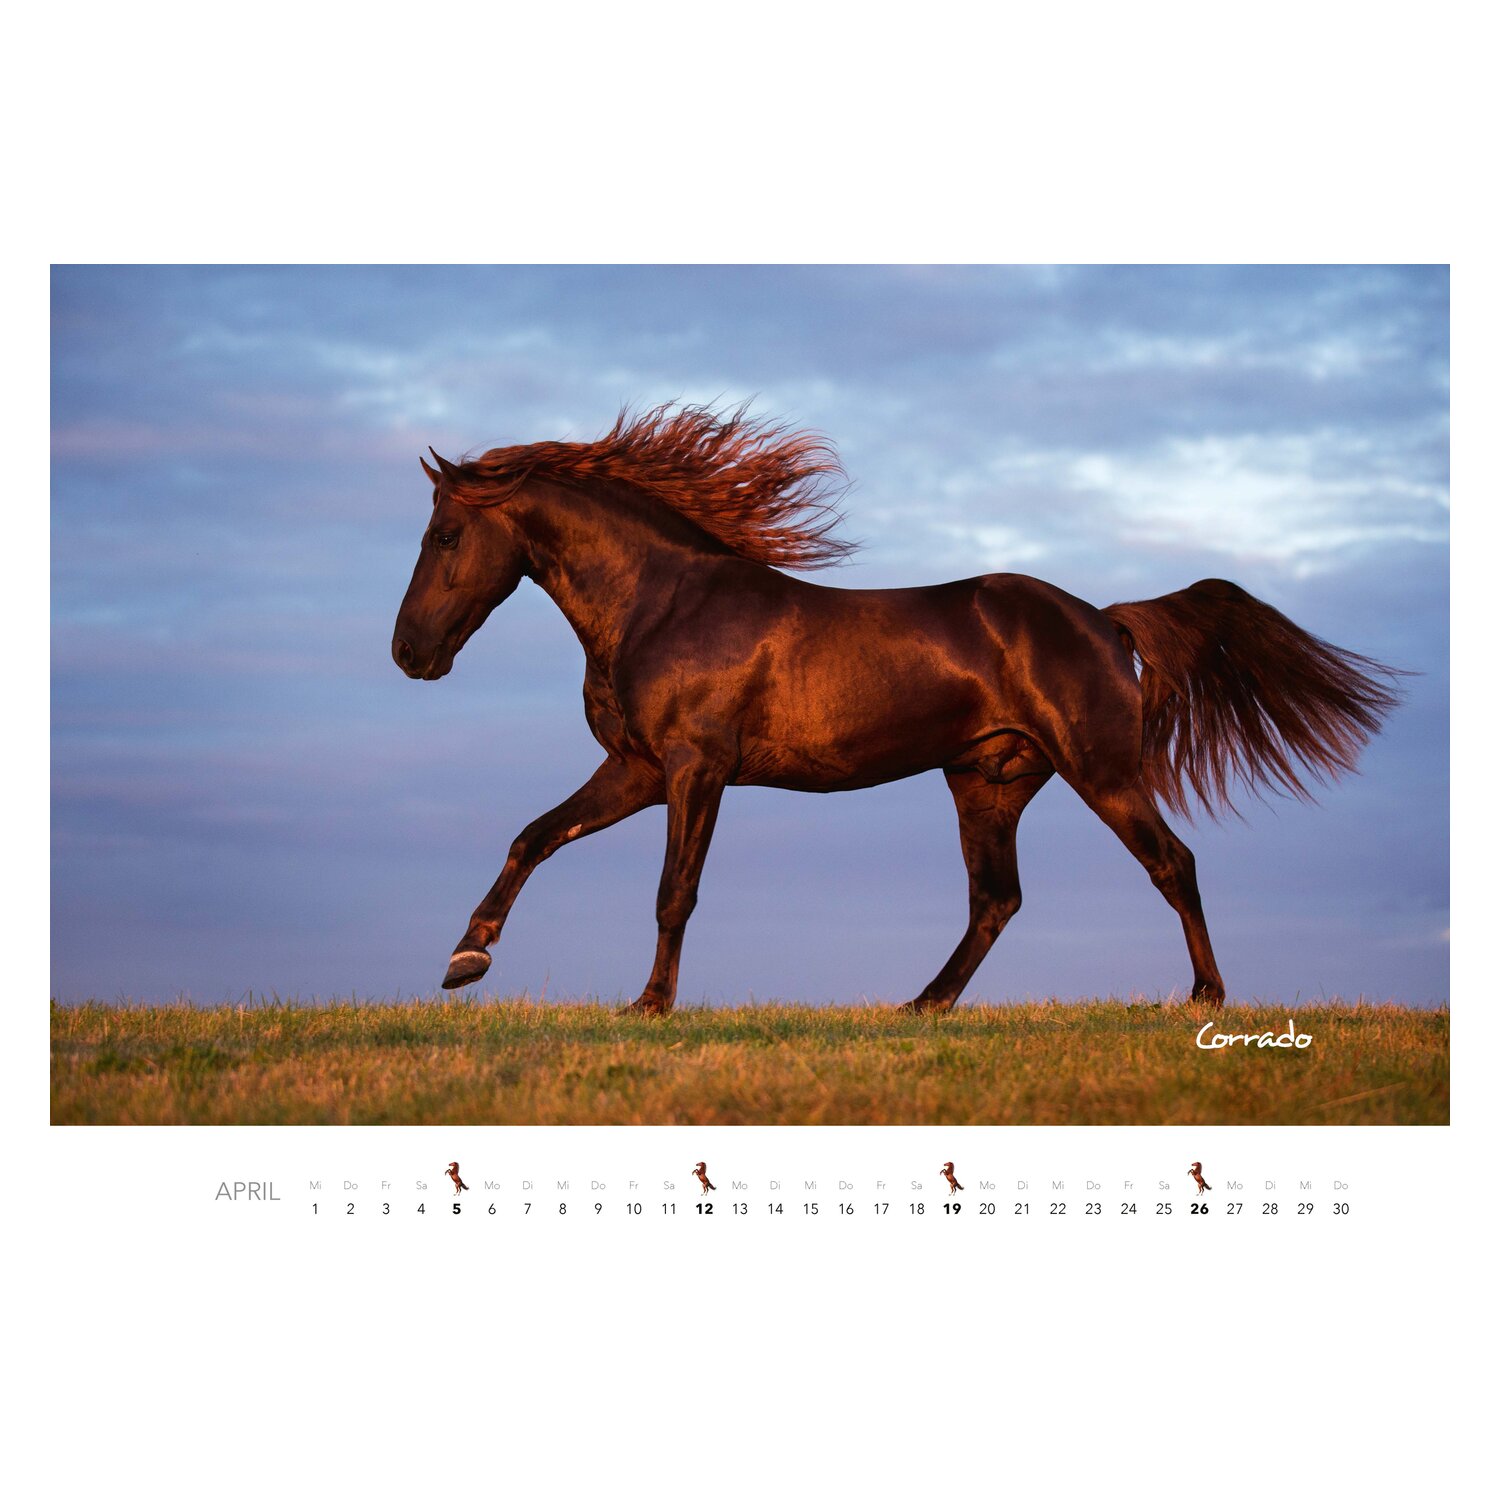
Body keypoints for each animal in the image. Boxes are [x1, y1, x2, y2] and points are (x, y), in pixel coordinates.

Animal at [392, 403, 1399, 1015]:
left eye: (444, 535)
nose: (409, 654)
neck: (664, 603)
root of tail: (1106, 620)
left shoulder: (694, 768)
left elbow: (675, 891)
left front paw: (649, 1006)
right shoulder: (635, 768)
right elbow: (533, 836)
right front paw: (465, 959)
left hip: (1101, 770)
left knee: (1171, 864)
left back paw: (1203, 998)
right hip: (987, 781)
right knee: (997, 899)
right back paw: (924, 1003)